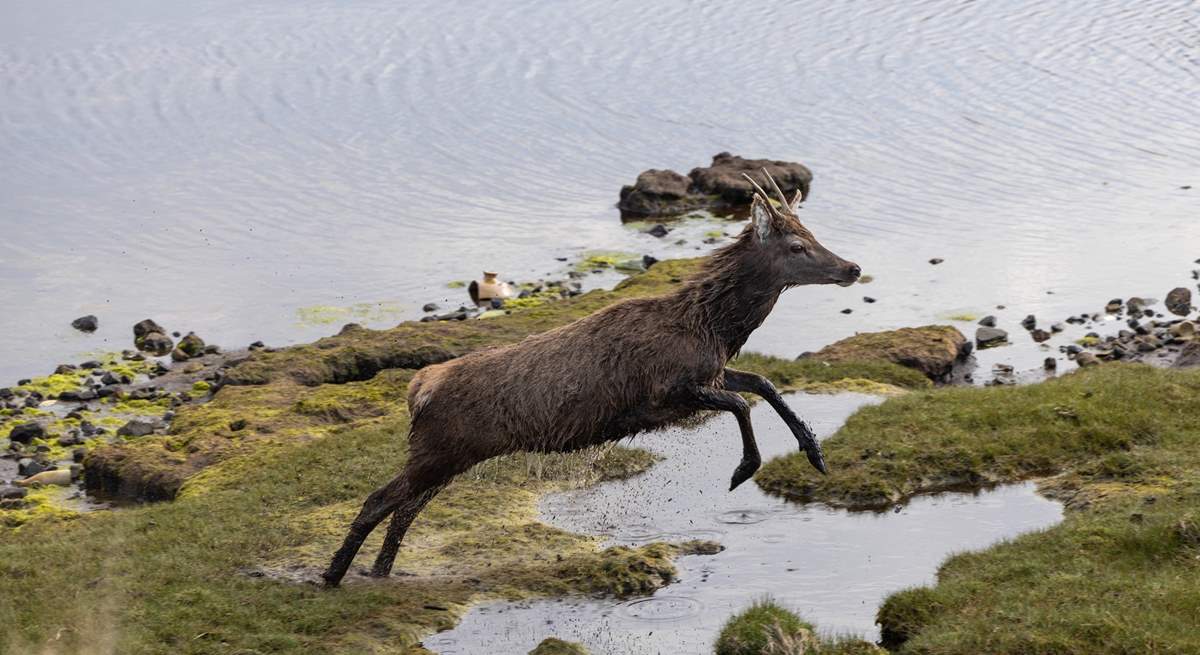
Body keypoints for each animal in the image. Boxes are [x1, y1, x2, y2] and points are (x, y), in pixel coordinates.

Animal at [321, 167, 864, 585]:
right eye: (796, 245)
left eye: (813, 236)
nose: (853, 268)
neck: (711, 326)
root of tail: (418, 388)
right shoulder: (667, 392)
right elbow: (743, 402)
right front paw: (743, 468)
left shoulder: (708, 375)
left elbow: (761, 384)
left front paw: (814, 451)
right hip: (439, 449)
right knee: (378, 500)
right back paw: (333, 576)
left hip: (449, 453)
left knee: (404, 508)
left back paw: (379, 571)